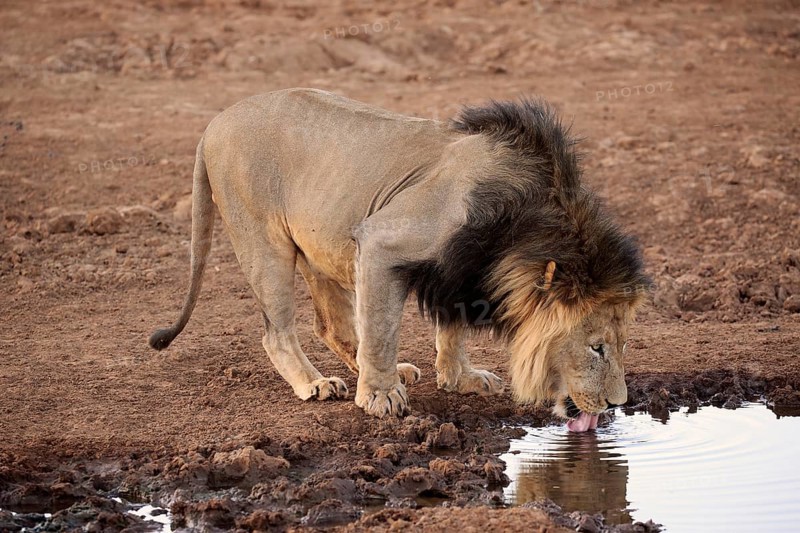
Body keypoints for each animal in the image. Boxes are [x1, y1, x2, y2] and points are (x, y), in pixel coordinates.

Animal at [149, 88, 650, 429]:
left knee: (331, 325)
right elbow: (382, 333)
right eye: (596, 347)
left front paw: (460, 379)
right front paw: (379, 398)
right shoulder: (381, 241)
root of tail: (215, 122)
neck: (519, 231)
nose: (617, 405)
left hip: (320, 244)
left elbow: (451, 332)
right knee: (278, 332)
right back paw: (316, 383)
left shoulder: (460, 272)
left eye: (623, 345)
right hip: (265, 244)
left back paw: (388, 372)